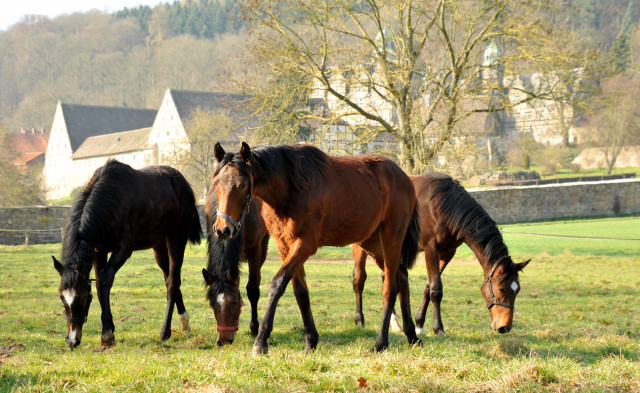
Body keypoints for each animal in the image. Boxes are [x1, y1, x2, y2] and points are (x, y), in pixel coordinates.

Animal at [52, 158, 202, 348]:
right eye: (62, 298)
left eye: (83, 297)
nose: (72, 340)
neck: (111, 201)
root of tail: (183, 183)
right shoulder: (99, 251)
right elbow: (100, 285)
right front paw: (109, 329)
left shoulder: (123, 250)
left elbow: (105, 281)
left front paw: (107, 334)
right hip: (159, 245)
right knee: (170, 277)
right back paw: (184, 322)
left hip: (176, 239)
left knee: (172, 281)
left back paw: (165, 332)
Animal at [201, 188, 268, 344]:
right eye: (212, 304)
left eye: (235, 303)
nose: (224, 340)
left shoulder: (255, 249)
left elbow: (253, 289)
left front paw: (254, 328)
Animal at [212, 142, 422, 354]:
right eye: (216, 184)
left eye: (242, 185)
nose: (223, 229)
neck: (291, 188)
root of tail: (403, 177)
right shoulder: (284, 245)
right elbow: (301, 292)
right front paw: (310, 341)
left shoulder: (304, 245)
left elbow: (278, 284)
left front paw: (261, 341)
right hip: (372, 243)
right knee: (402, 278)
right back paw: (411, 335)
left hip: (391, 237)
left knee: (390, 286)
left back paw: (381, 342)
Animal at [352, 173, 528, 336]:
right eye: (502, 289)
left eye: (517, 289)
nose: (505, 327)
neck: (442, 207)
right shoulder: (431, 249)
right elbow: (436, 289)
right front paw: (438, 328)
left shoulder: (447, 253)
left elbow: (428, 286)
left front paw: (419, 324)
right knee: (359, 279)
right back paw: (360, 320)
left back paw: (394, 323)